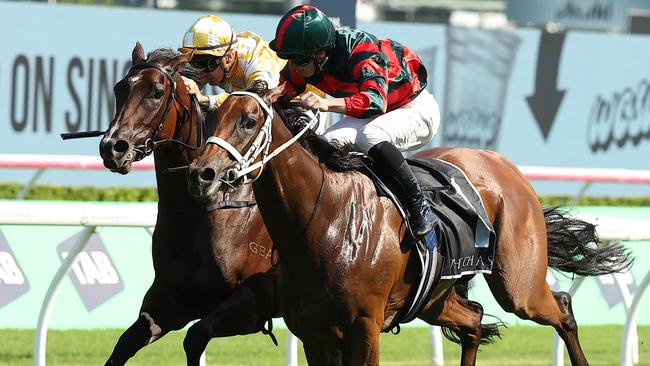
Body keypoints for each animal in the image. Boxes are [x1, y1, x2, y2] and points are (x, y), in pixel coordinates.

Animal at [98, 43, 276, 366]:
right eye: (118, 88)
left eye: (157, 92)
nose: (112, 147)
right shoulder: (169, 302)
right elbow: (123, 345)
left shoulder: (256, 302)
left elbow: (195, 337)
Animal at [185, 83, 632, 366]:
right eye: (212, 116)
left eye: (248, 120)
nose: (202, 174)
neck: (323, 222)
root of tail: (501, 163)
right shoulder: (314, 334)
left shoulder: (364, 329)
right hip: (435, 298)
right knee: (474, 320)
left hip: (518, 284)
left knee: (562, 308)